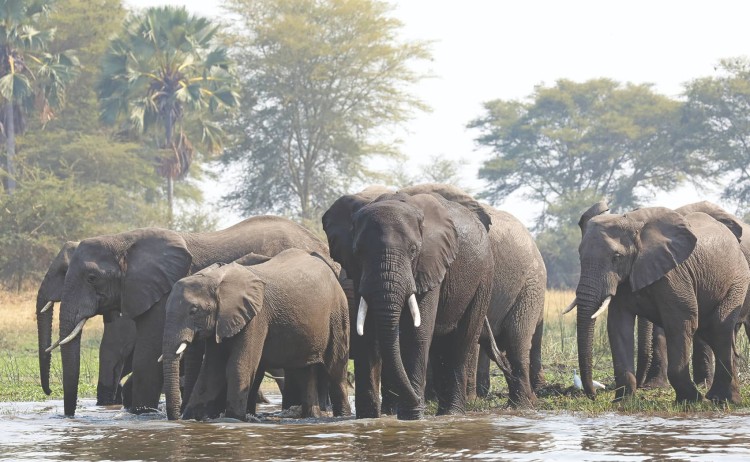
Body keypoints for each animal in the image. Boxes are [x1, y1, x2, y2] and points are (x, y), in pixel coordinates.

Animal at [49, 216, 333, 417]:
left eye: (91, 278)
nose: (69, 417)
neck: (123, 240)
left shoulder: (161, 292)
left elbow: (147, 356)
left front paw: (143, 414)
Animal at [161, 249, 350, 421]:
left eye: (194, 310)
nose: (176, 418)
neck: (217, 279)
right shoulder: (222, 321)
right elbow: (211, 371)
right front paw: (191, 418)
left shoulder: (256, 316)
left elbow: (238, 366)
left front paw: (234, 418)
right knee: (304, 370)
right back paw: (312, 416)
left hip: (338, 313)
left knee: (336, 370)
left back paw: (343, 416)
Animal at [326, 190, 494, 420]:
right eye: (358, 251)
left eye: (414, 250)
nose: (417, 402)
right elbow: (367, 334)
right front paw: (368, 418)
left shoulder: (431, 262)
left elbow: (416, 333)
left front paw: (412, 417)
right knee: (441, 346)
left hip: (483, 278)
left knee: (462, 341)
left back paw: (451, 414)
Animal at [574, 204, 750, 404]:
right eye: (579, 256)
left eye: (616, 257)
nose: (593, 396)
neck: (635, 224)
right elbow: (619, 326)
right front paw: (623, 402)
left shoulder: (674, 275)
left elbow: (681, 322)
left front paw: (692, 401)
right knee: (714, 332)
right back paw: (721, 399)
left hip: (738, 280)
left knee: (719, 328)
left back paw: (723, 400)